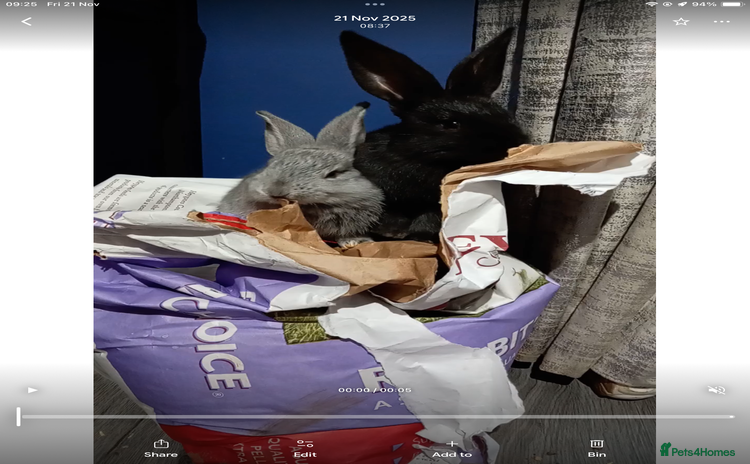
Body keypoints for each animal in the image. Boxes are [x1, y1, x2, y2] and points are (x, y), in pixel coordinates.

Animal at [339, 28, 530, 243]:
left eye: (501, 112)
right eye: (450, 124)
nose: (518, 141)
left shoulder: (437, 205)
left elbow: (430, 219)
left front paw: (420, 237)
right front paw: (392, 231)